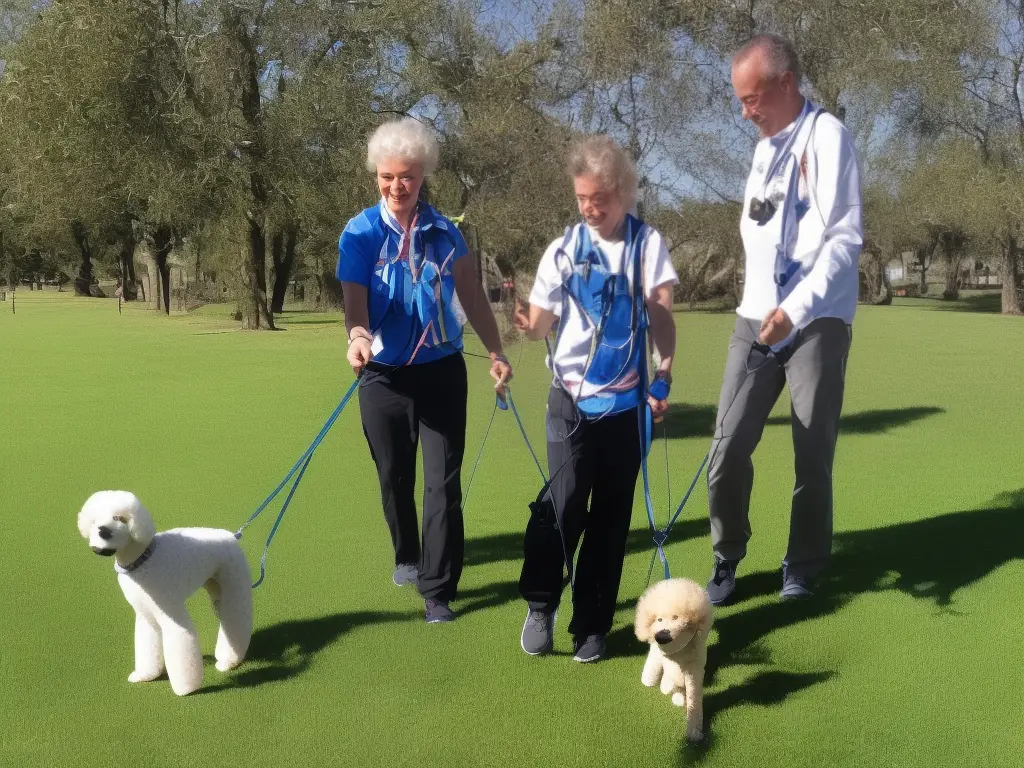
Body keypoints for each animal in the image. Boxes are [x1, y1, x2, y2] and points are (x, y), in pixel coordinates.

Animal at [75, 493, 251, 696]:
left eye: (119, 518)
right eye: (94, 521)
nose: (103, 531)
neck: (142, 560)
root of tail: (232, 536)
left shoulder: (171, 613)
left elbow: (181, 639)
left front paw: (186, 688)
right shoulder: (145, 613)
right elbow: (147, 641)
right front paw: (146, 675)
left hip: (234, 586)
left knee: (236, 620)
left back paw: (229, 661)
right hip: (216, 589)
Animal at [630, 581, 712, 741]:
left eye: (676, 617)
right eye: (659, 619)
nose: (661, 636)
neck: (678, 653)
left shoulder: (694, 671)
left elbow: (694, 701)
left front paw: (694, 732)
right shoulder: (658, 654)